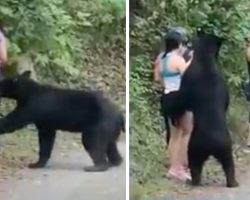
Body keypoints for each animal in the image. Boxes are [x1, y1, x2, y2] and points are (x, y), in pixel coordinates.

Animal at [178, 32, 238, 188]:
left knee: (195, 164)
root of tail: (212, 142)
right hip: (225, 148)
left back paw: (194, 181)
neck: (206, 59)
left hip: (194, 146)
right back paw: (232, 182)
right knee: (229, 164)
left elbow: (185, 99)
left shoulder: (188, 78)